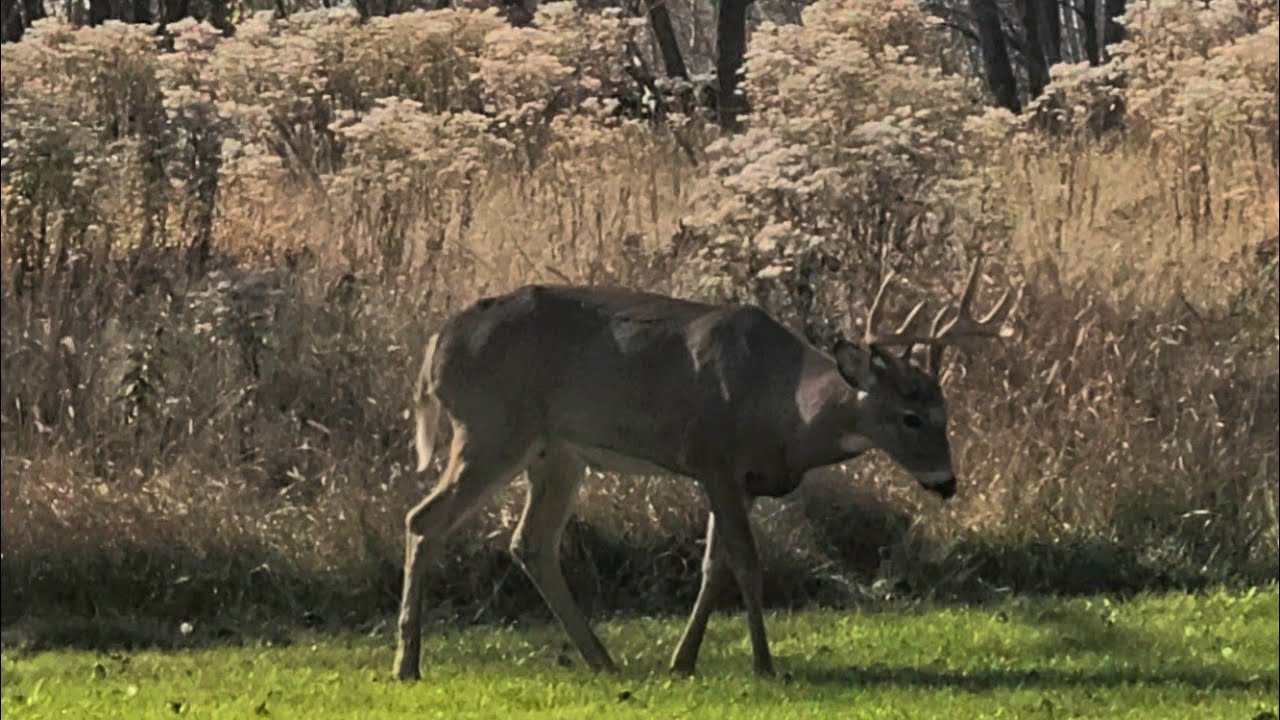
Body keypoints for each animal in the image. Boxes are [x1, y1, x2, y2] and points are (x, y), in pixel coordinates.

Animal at [393, 259, 1016, 681]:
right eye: (911, 417)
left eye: (945, 413)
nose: (946, 482)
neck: (785, 408)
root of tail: (435, 346)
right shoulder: (713, 457)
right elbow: (746, 561)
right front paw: (764, 663)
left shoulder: (742, 482)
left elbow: (714, 565)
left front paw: (683, 660)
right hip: (490, 429)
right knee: (424, 519)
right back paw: (408, 663)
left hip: (558, 453)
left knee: (531, 542)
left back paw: (602, 659)